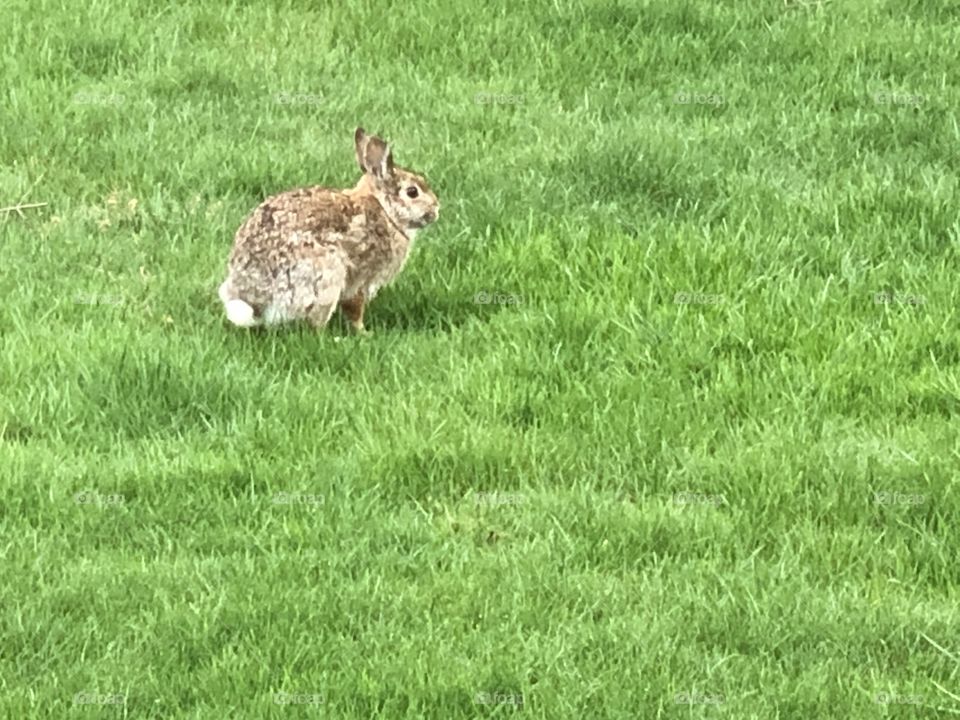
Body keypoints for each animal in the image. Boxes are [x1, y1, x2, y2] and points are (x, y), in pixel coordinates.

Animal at [218, 127, 440, 332]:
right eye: (412, 192)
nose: (436, 209)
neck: (385, 211)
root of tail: (255, 300)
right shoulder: (361, 278)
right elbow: (355, 307)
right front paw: (364, 333)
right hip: (326, 276)